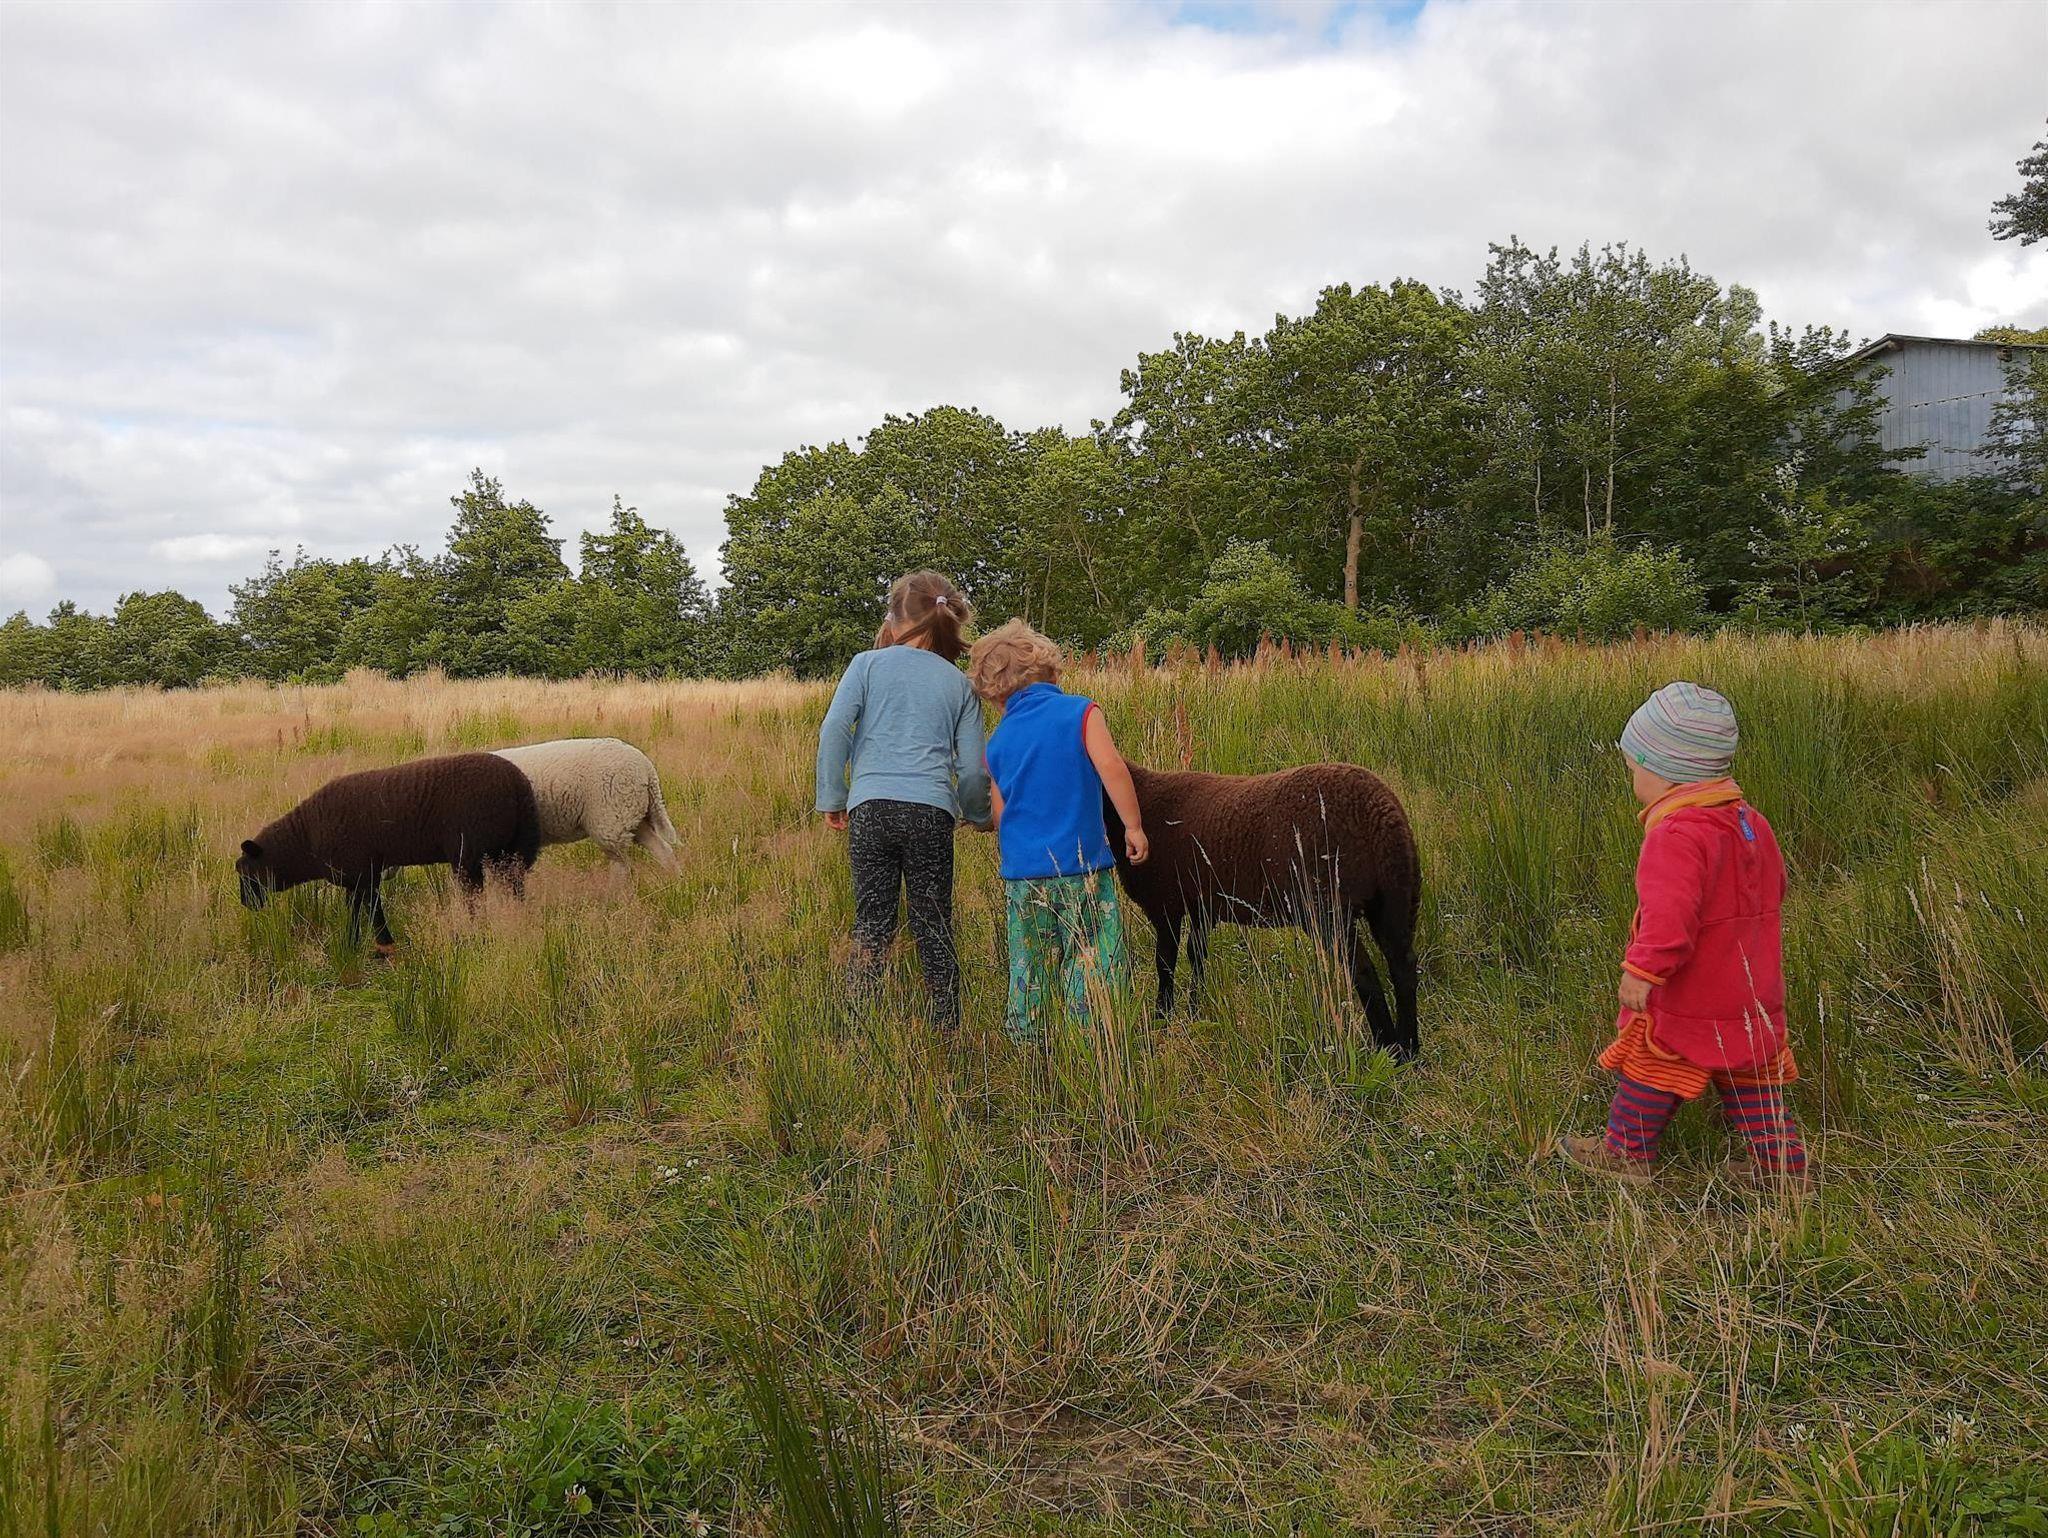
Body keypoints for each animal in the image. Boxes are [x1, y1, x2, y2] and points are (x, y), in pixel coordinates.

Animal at [235, 752, 542, 951]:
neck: (305, 840)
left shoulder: (363, 873)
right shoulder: (356, 875)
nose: (245, 904)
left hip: (470, 852)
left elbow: (372, 909)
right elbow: (354, 909)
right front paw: (352, 943)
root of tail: (517, 782)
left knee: (474, 896)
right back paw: (518, 920)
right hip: (509, 850)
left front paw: (385, 944)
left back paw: (476, 932)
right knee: (514, 886)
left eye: (246, 872)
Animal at [491, 737, 680, 870]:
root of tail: (646, 767)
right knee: (662, 850)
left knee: (622, 863)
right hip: (629, 814)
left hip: (610, 817)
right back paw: (673, 883)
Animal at [1104, 762, 1422, 1059]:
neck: (1138, 798)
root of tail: (1382, 812)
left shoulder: (1165, 903)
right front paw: (1195, 1010)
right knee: (1403, 965)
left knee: (1363, 972)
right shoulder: (1202, 905)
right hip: (1395, 897)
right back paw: (1409, 1049)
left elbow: (1165, 963)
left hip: (1328, 907)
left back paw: (1388, 1047)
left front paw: (1162, 1017)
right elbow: (1196, 954)